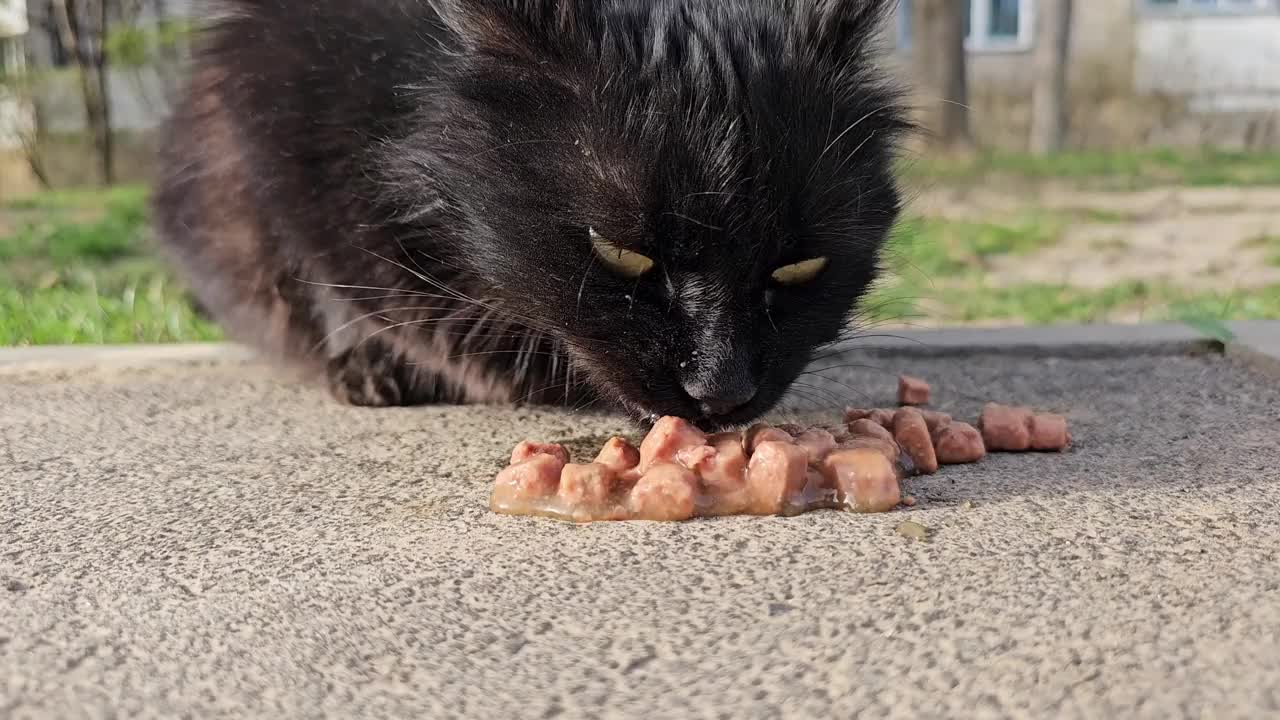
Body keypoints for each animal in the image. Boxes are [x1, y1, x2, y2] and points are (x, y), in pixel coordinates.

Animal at [152, 0, 911, 425]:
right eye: (621, 253)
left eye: (800, 268)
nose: (719, 391)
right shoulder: (266, 103)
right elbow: (319, 264)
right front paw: (368, 359)